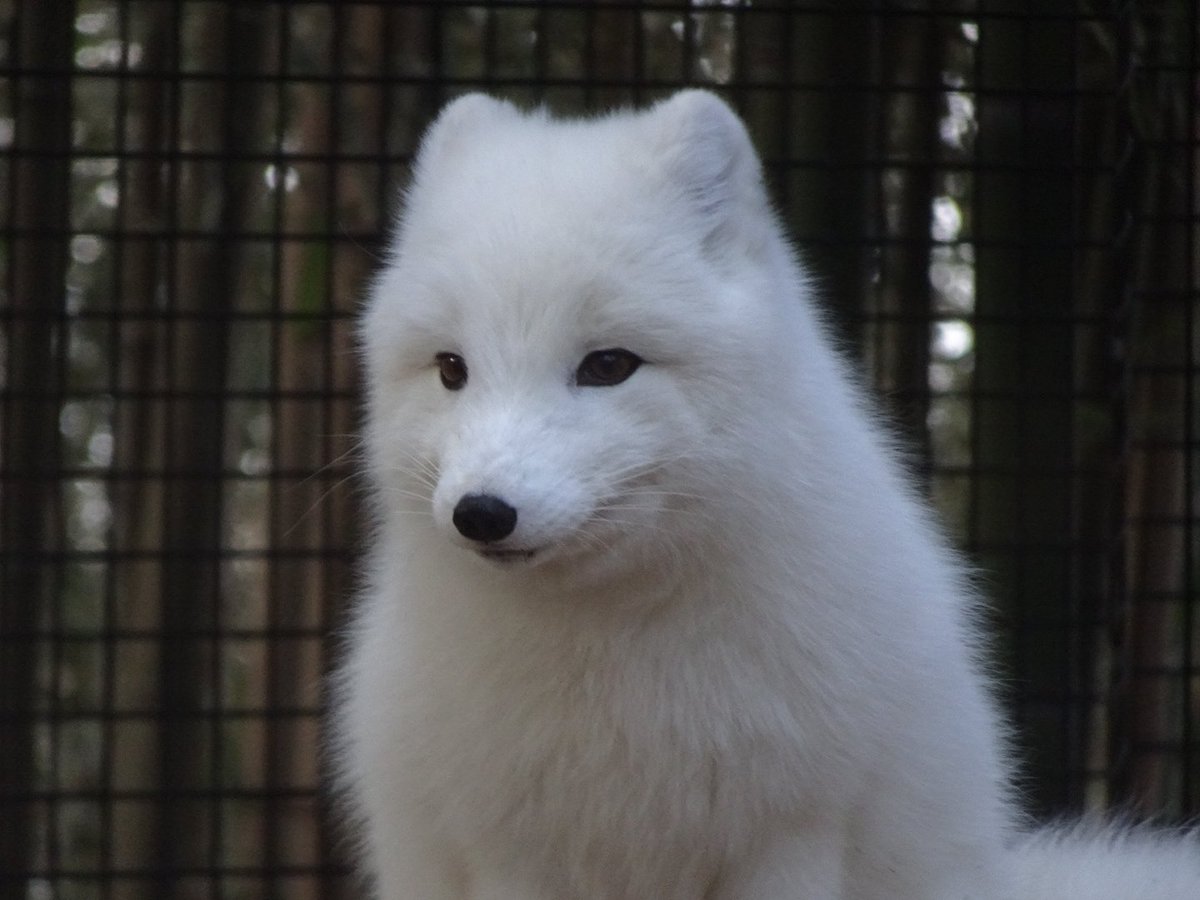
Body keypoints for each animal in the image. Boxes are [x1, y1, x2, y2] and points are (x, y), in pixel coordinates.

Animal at [332, 90, 1200, 899]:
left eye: (608, 366)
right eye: (452, 368)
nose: (482, 513)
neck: (613, 658)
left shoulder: (793, 835)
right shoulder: (510, 853)